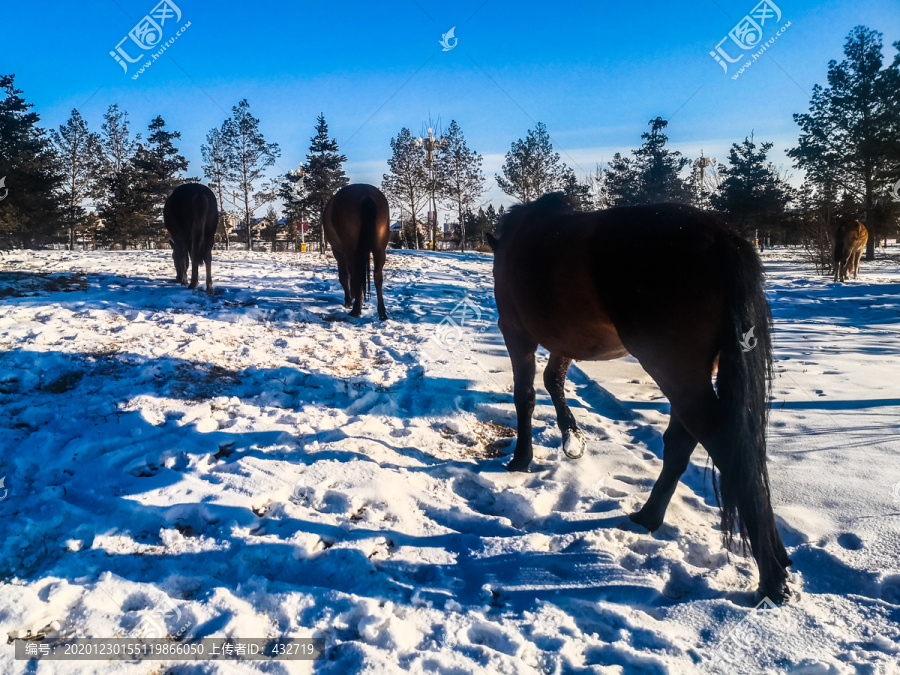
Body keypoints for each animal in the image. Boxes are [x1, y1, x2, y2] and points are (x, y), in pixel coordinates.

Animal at [326, 185, 392, 322]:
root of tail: (366, 194)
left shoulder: (339, 253)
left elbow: (345, 277)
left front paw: (349, 301)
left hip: (352, 251)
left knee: (356, 276)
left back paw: (356, 309)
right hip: (379, 249)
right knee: (377, 276)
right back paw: (382, 312)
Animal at [488, 194, 792, 604]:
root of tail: (722, 237)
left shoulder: (516, 332)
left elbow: (526, 394)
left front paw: (521, 459)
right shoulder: (567, 340)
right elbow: (554, 380)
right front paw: (572, 439)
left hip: (674, 369)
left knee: (723, 445)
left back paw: (770, 578)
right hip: (691, 373)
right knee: (684, 441)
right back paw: (651, 518)